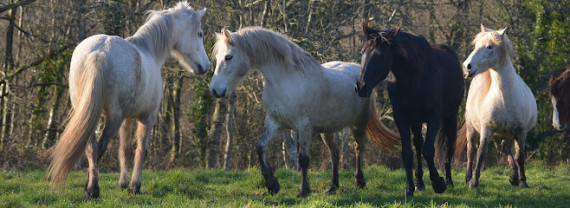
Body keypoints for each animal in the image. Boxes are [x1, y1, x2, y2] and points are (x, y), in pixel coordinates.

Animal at [48, 2, 209, 200]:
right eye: (200, 33)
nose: (206, 66)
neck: (149, 51)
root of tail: (99, 53)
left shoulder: (128, 118)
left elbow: (124, 150)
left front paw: (122, 184)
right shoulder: (147, 118)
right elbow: (141, 151)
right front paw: (134, 187)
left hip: (90, 113)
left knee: (91, 147)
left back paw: (90, 186)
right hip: (114, 118)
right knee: (100, 147)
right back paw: (94, 190)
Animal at [206, 26, 398, 197]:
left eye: (228, 57)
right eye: (216, 57)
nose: (215, 90)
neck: (286, 81)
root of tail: (358, 71)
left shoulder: (304, 126)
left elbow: (303, 159)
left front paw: (304, 191)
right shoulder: (274, 122)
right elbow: (260, 147)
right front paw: (272, 185)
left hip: (359, 123)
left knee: (359, 148)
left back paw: (359, 182)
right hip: (327, 130)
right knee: (335, 153)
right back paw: (333, 187)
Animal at [352, 23, 464, 196]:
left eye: (380, 54)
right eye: (363, 52)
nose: (361, 87)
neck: (414, 77)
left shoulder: (434, 116)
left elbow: (429, 150)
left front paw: (438, 183)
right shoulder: (402, 117)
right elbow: (408, 153)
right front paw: (410, 187)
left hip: (450, 116)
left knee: (449, 146)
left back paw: (449, 181)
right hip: (416, 121)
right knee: (418, 144)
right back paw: (419, 182)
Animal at [454, 24, 536, 188]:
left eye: (489, 46)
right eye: (476, 46)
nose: (467, 67)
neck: (504, 99)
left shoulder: (520, 131)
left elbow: (520, 156)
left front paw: (523, 181)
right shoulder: (487, 128)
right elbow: (481, 153)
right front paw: (474, 181)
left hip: (507, 133)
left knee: (506, 149)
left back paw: (514, 177)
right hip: (472, 128)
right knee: (471, 150)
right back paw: (468, 176)